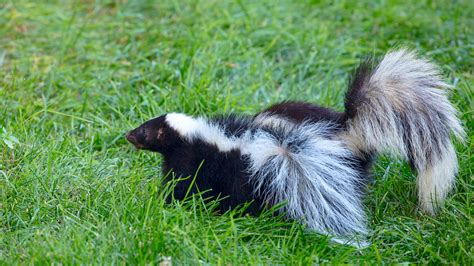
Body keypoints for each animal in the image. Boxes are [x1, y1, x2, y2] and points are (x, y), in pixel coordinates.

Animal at [127, 49, 466, 239]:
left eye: (145, 131)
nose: (127, 135)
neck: (193, 135)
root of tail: (351, 129)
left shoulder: (203, 162)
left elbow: (184, 185)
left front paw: (167, 202)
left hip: (275, 174)